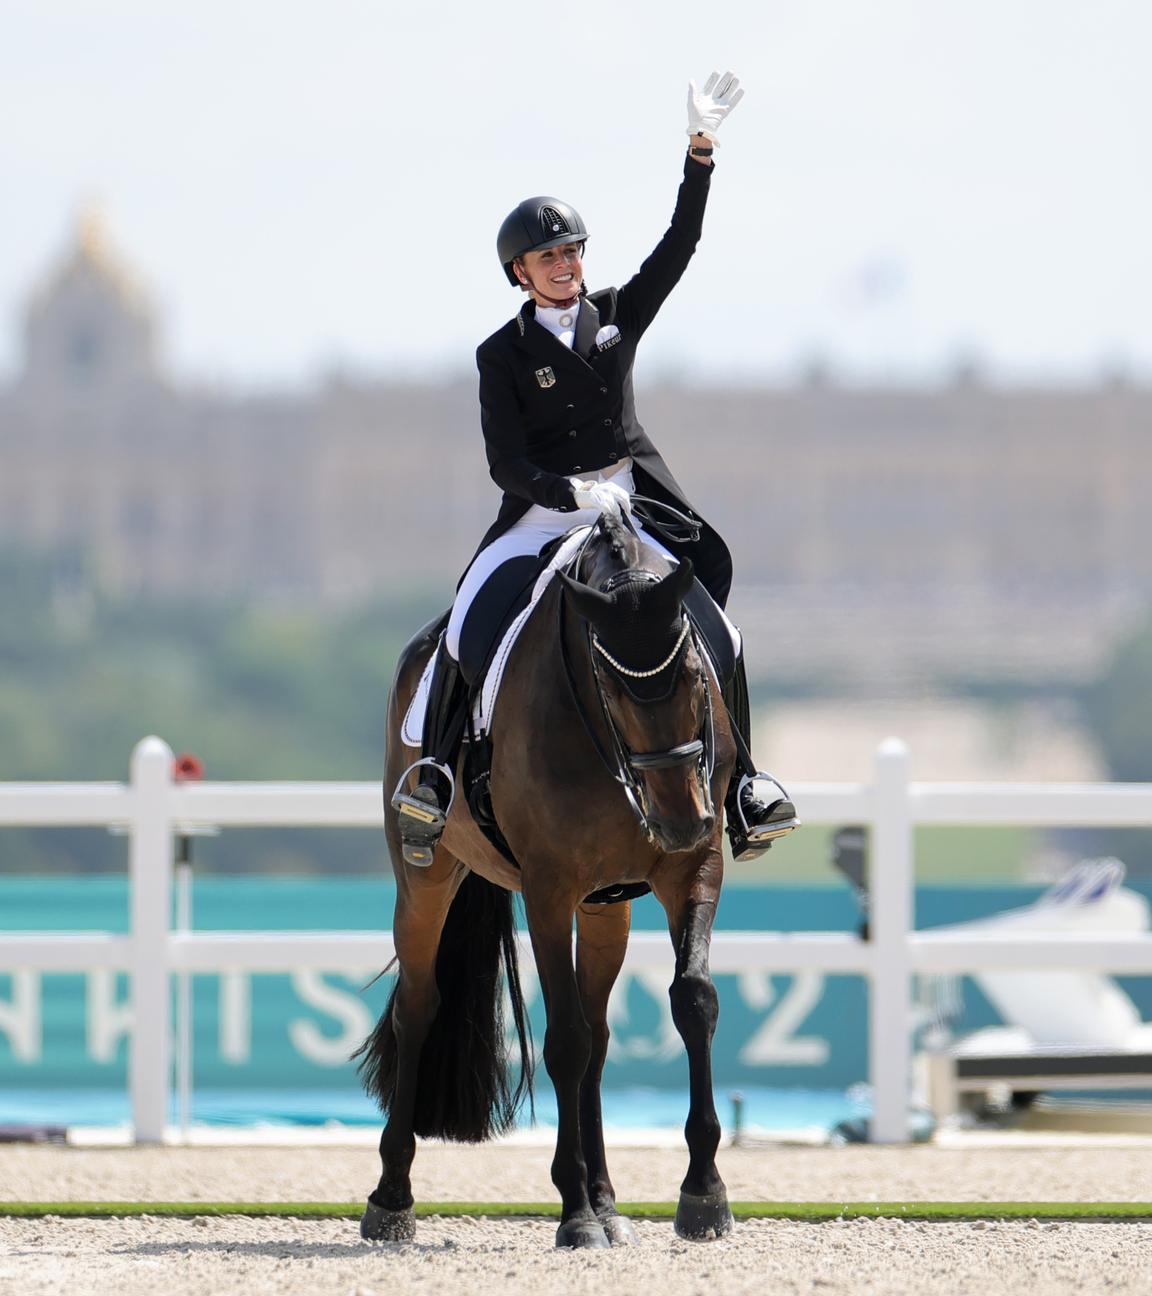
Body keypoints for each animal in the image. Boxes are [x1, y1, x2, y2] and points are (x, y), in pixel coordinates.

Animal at [355, 510, 736, 1249]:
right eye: (610, 688)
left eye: (696, 677)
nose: (680, 819)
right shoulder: (549, 890)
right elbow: (565, 1040)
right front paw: (574, 1213)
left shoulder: (693, 869)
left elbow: (694, 1003)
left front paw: (703, 1193)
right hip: (424, 879)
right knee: (418, 1007)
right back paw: (392, 1200)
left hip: (607, 906)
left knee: (601, 1031)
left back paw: (610, 1202)